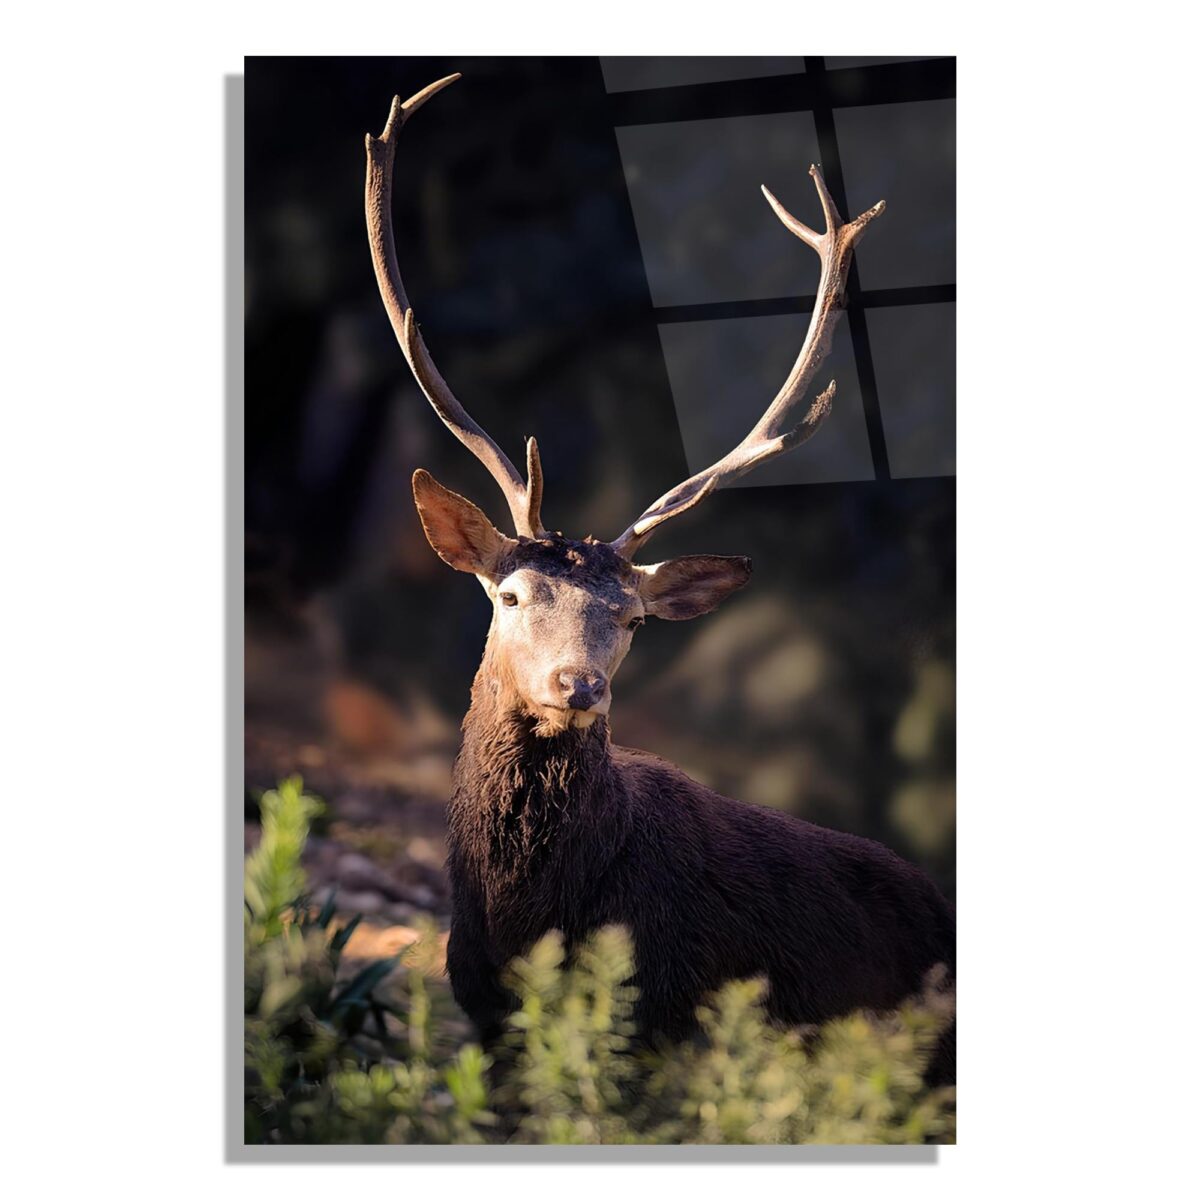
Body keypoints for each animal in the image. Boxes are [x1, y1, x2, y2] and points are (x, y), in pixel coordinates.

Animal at [364, 75, 955, 1081]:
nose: (579, 684)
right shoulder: (484, 1018)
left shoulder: (666, 1024)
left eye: (634, 617)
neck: (530, 924)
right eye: (510, 595)